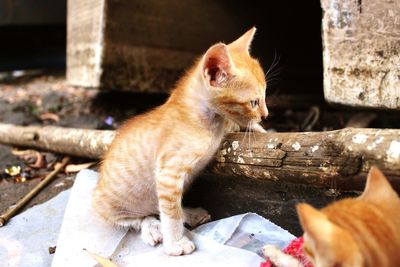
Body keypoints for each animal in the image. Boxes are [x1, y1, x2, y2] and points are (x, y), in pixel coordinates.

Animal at [92, 28, 268, 256]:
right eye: (253, 102)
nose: (266, 115)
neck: (208, 122)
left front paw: (258, 128)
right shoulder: (168, 173)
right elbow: (171, 215)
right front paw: (175, 243)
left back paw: (189, 213)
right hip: (107, 205)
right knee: (141, 217)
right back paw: (152, 228)